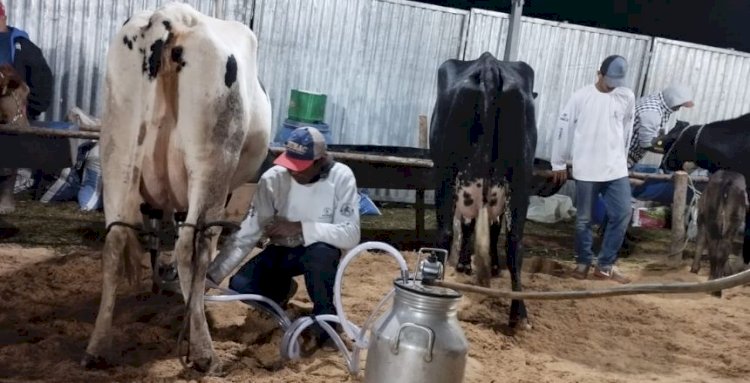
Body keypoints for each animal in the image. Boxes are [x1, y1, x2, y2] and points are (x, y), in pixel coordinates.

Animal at [432, 50, 536, 328]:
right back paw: (519, 315)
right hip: (521, 177)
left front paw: (464, 265)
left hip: (446, 172)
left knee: (446, 233)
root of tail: (489, 65)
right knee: (514, 243)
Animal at [692, 170, 750, 298]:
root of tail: (728, 177)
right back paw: (716, 287)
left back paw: (713, 285)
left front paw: (694, 268)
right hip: (730, 220)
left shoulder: (701, 222)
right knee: (722, 249)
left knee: (715, 249)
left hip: (713, 221)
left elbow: (700, 243)